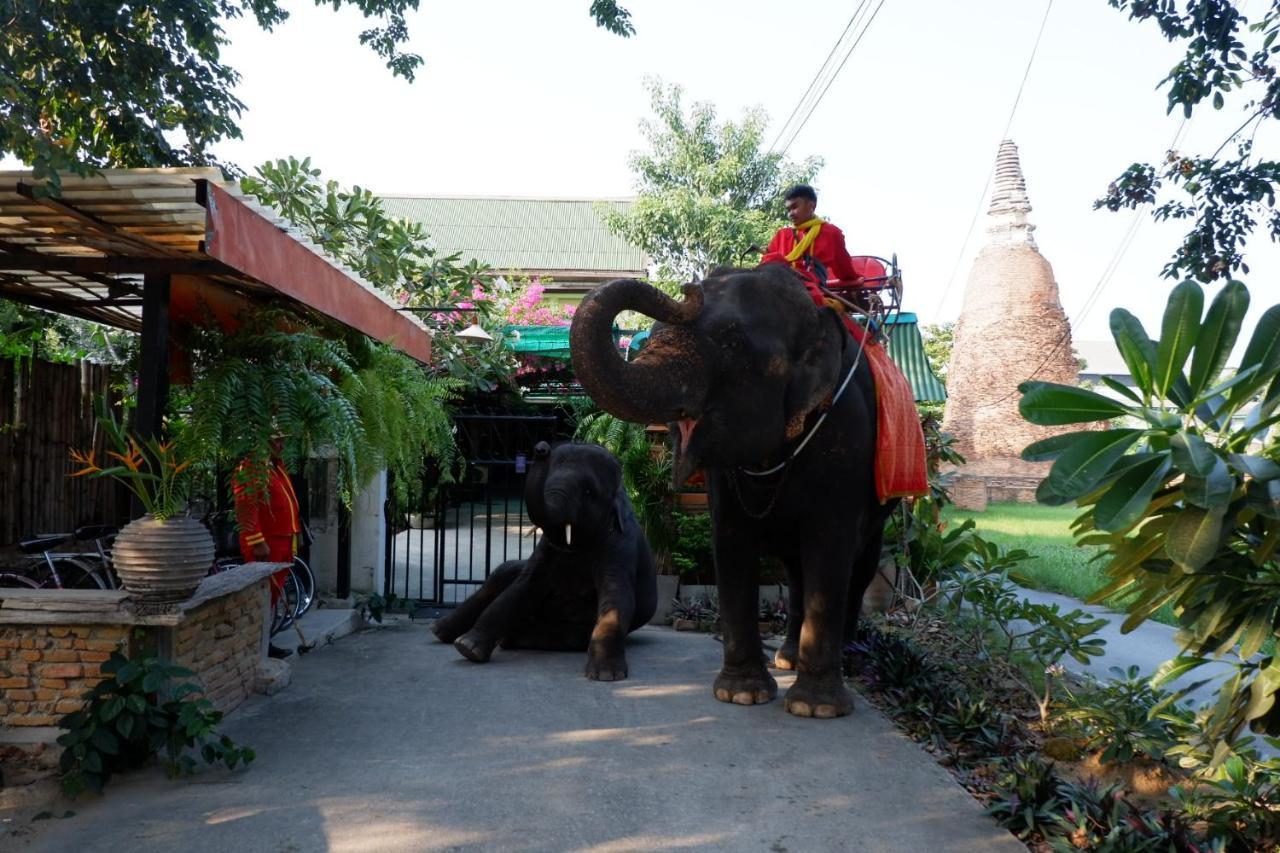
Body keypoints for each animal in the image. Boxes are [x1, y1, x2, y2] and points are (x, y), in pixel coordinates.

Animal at [430, 438, 655, 676]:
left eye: (588, 491)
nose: (541, 448)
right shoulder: (545, 550)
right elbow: (523, 586)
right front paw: (468, 648)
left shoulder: (622, 547)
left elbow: (617, 596)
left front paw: (605, 675)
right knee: (503, 572)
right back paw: (441, 630)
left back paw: (508, 639)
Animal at [570, 266, 901, 717]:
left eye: (732, 346)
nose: (689, 289)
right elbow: (730, 541)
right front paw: (741, 695)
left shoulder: (846, 431)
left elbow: (830, 545)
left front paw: (815, 708)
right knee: (795, 570)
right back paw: (787, 658)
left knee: (860, 564)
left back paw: (846, 660)